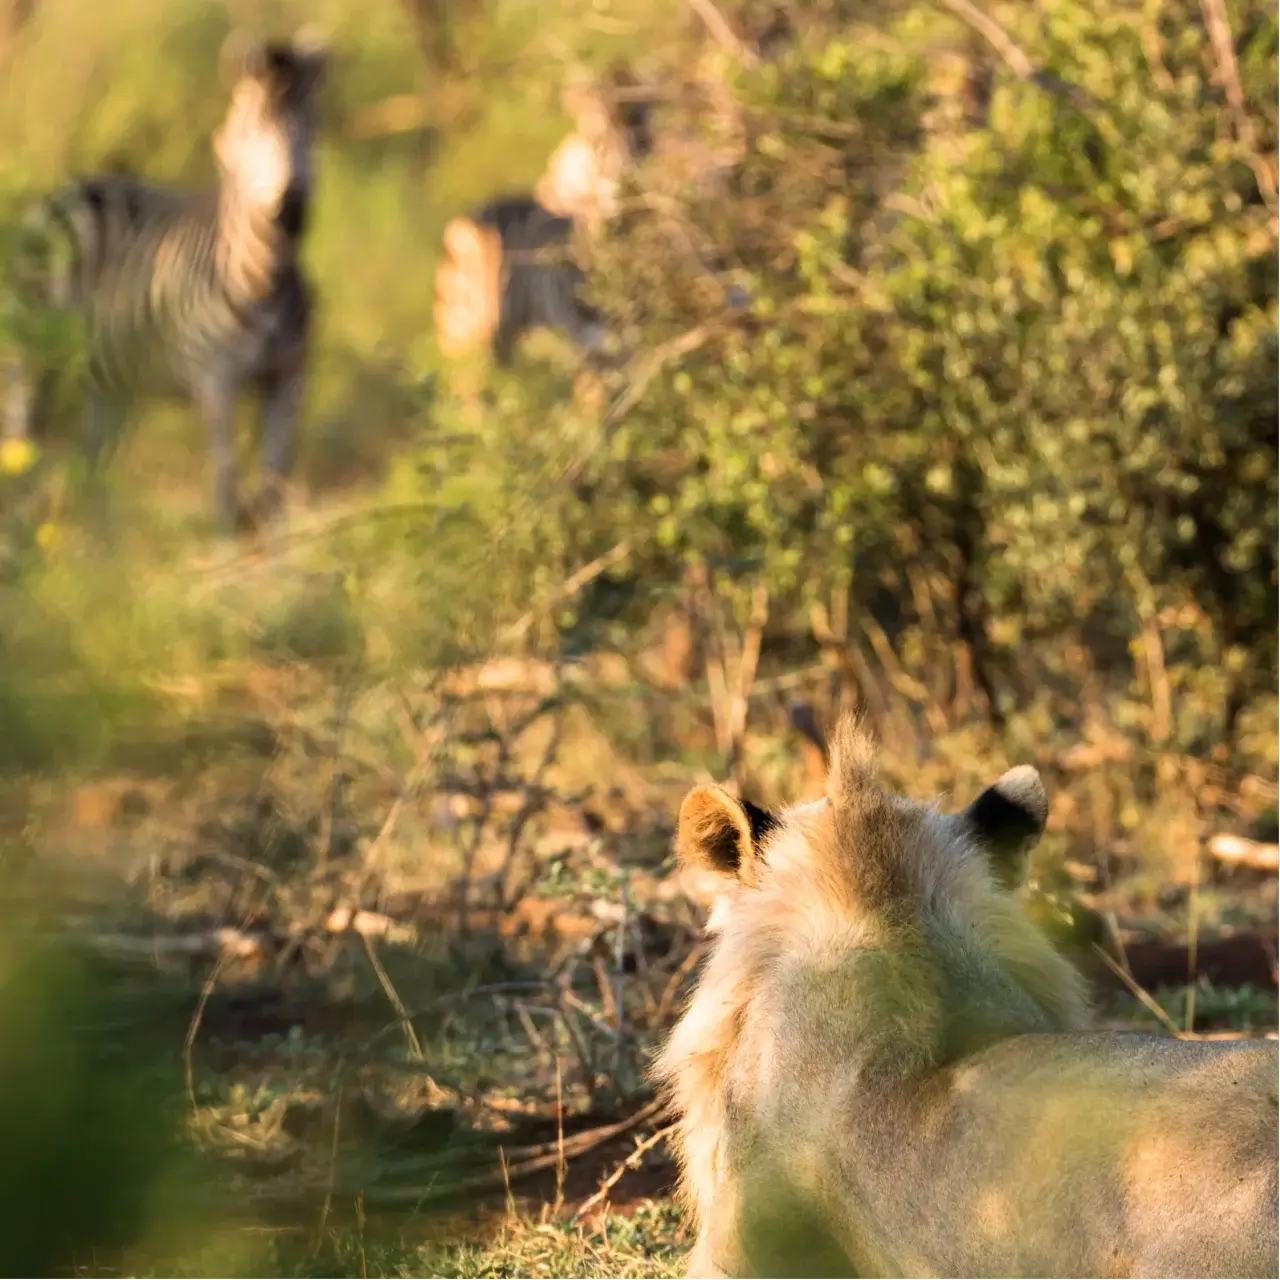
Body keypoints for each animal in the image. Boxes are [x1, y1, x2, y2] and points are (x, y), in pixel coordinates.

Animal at [3, 28, 330, 540]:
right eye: (252, 130)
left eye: (312, 127)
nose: (291, 212)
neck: (265, 281)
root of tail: (70, 190)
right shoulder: (214, 380)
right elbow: (225, 485)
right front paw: (230, 556)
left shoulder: (289, 378)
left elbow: (273, 491)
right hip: (30, 364)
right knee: (21, 458)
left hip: (106, 383)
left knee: (89, 475)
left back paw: (101, 557)